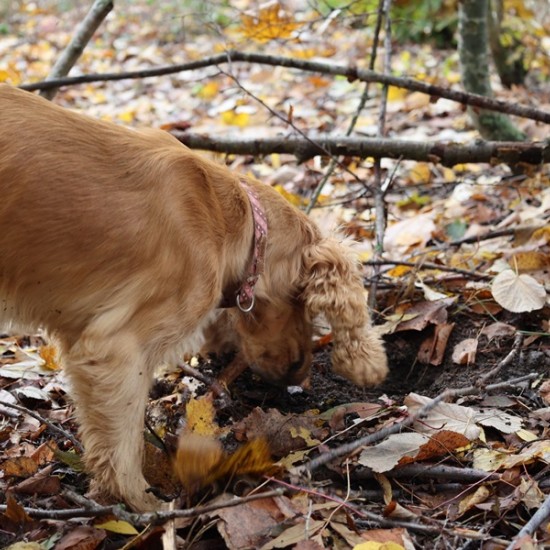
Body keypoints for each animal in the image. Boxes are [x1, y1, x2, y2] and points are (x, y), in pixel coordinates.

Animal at [0, 86, 388, 512]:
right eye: (303, 301)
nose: (299, 374)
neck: (225, 214)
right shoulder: (115, 350)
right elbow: (122, 446)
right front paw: (145, 505)